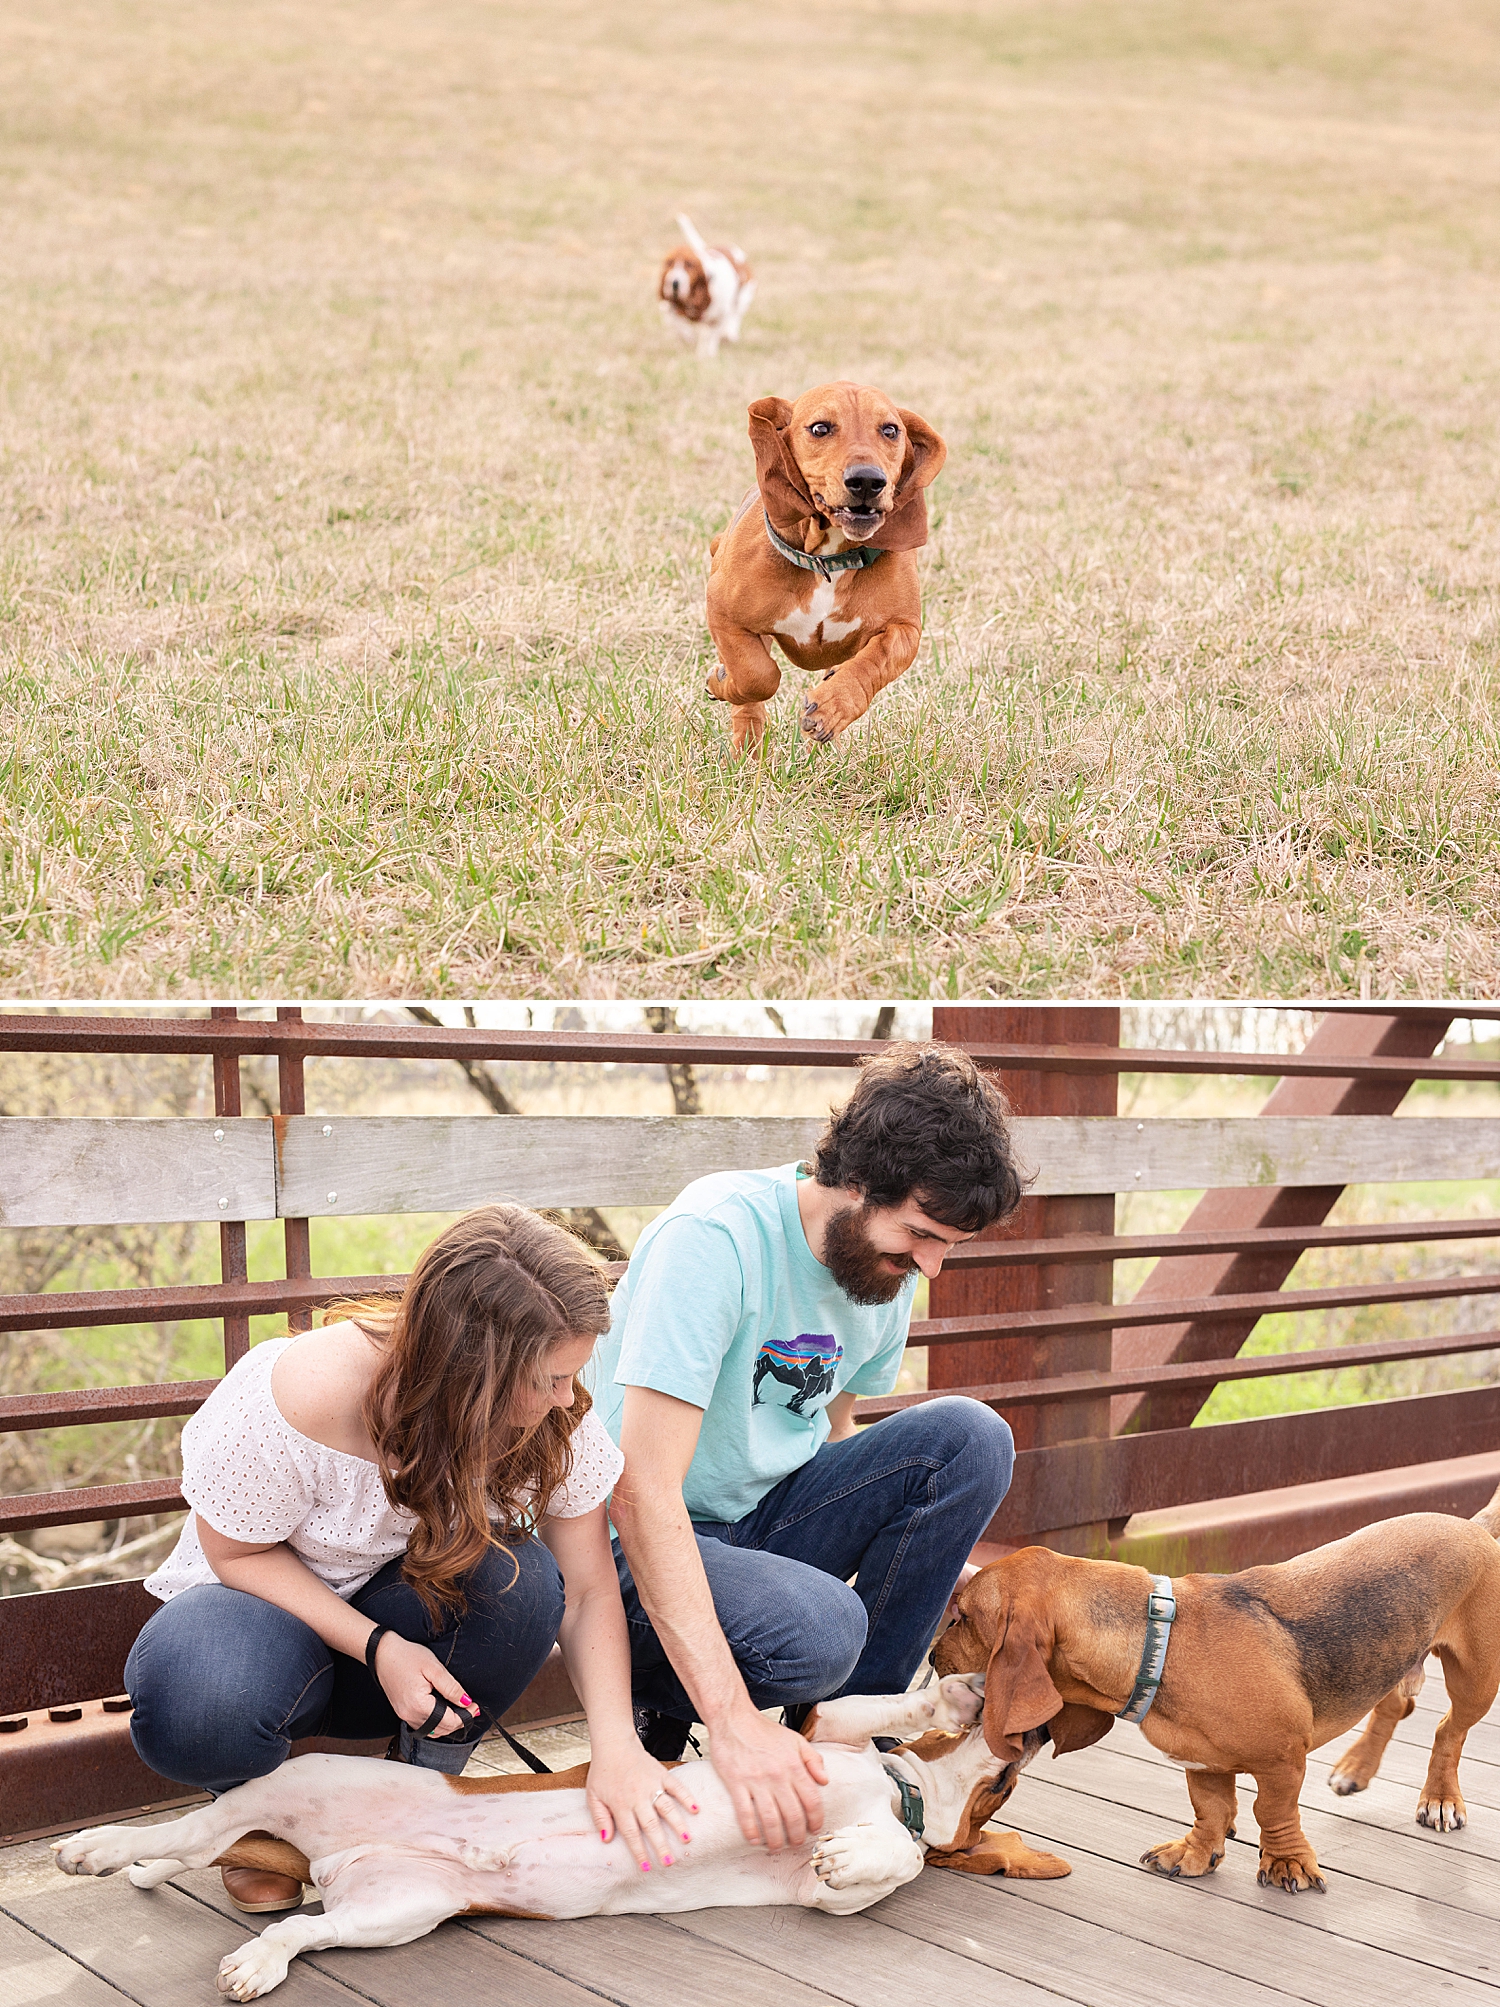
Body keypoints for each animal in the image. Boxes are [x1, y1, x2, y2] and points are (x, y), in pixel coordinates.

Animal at [55, 1677, 1068, 1990]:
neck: (901, 1790)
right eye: (1009, 1777)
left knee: (302, 1924)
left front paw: (862, 1848)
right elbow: (878, 1707)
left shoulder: (826, 1883)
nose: (1036, 1730)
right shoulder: (820, 1735)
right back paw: (100, 1850)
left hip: (396, 1908)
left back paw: (257, 1960)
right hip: (307, 1779)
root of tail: (327, 1858)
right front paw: (948, 1695)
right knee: (198, 1827)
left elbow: (884, 1861)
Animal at [658, 219, 755, 361]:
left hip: (743, 298)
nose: (674, 282)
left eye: (689, 265)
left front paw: (709, 353)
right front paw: (688, 336)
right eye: (669, 263)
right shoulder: (670, 308)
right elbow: (676, 323)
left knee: (735, 315)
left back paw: (729, 334)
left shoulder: (718, 318)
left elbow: (713, 337)